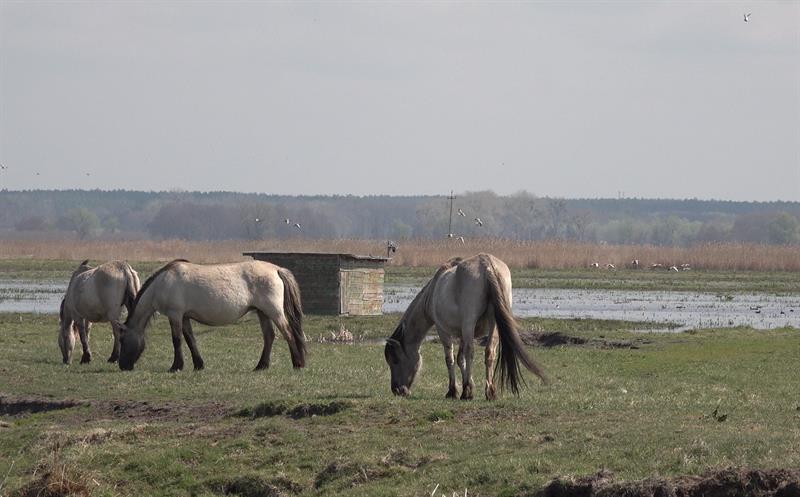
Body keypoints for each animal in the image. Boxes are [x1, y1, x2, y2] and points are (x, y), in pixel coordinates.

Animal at [117, 259, 306, 372]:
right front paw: (198, 365)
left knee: (288, 333)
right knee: (269, 336)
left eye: (122, 340)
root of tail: (276, 269)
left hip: (274, 311)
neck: (163, 283)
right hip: (262, 312)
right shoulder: (184, 317)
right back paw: (261, 366)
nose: (123, 366)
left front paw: (176, 366)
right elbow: (190, 339)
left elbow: (177, 340)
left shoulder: (175, 315)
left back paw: (297, 363)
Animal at [384, 253, 547, 400]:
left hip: (469, 323)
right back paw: (490, 392)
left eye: (395, 360)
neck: (434, 290)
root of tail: (486, 264)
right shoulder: (463, 333)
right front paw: (467, 385)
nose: (397, 390)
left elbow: (450, 358)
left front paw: (454, 391)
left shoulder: (443, 330)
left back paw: (467, 393)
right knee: (489, 352)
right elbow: (460, 358)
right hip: (493, 325)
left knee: (471, 352)